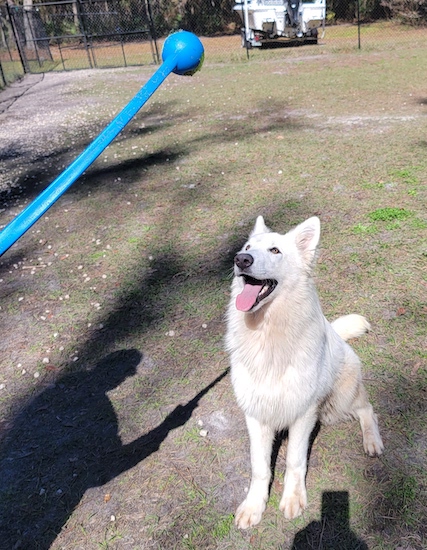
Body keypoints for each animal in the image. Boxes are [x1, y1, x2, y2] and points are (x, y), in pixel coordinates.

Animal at [227, 216, 384, 532]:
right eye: (247, 248)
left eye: (275, 250)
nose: (241, 260)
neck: (267, 334)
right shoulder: (255, 414)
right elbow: (259, 467)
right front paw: (253, 506)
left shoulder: (304, 413)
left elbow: (295, 461)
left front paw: (292, 498)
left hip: (343, 397)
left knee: (368, 410)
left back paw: (372, 441)